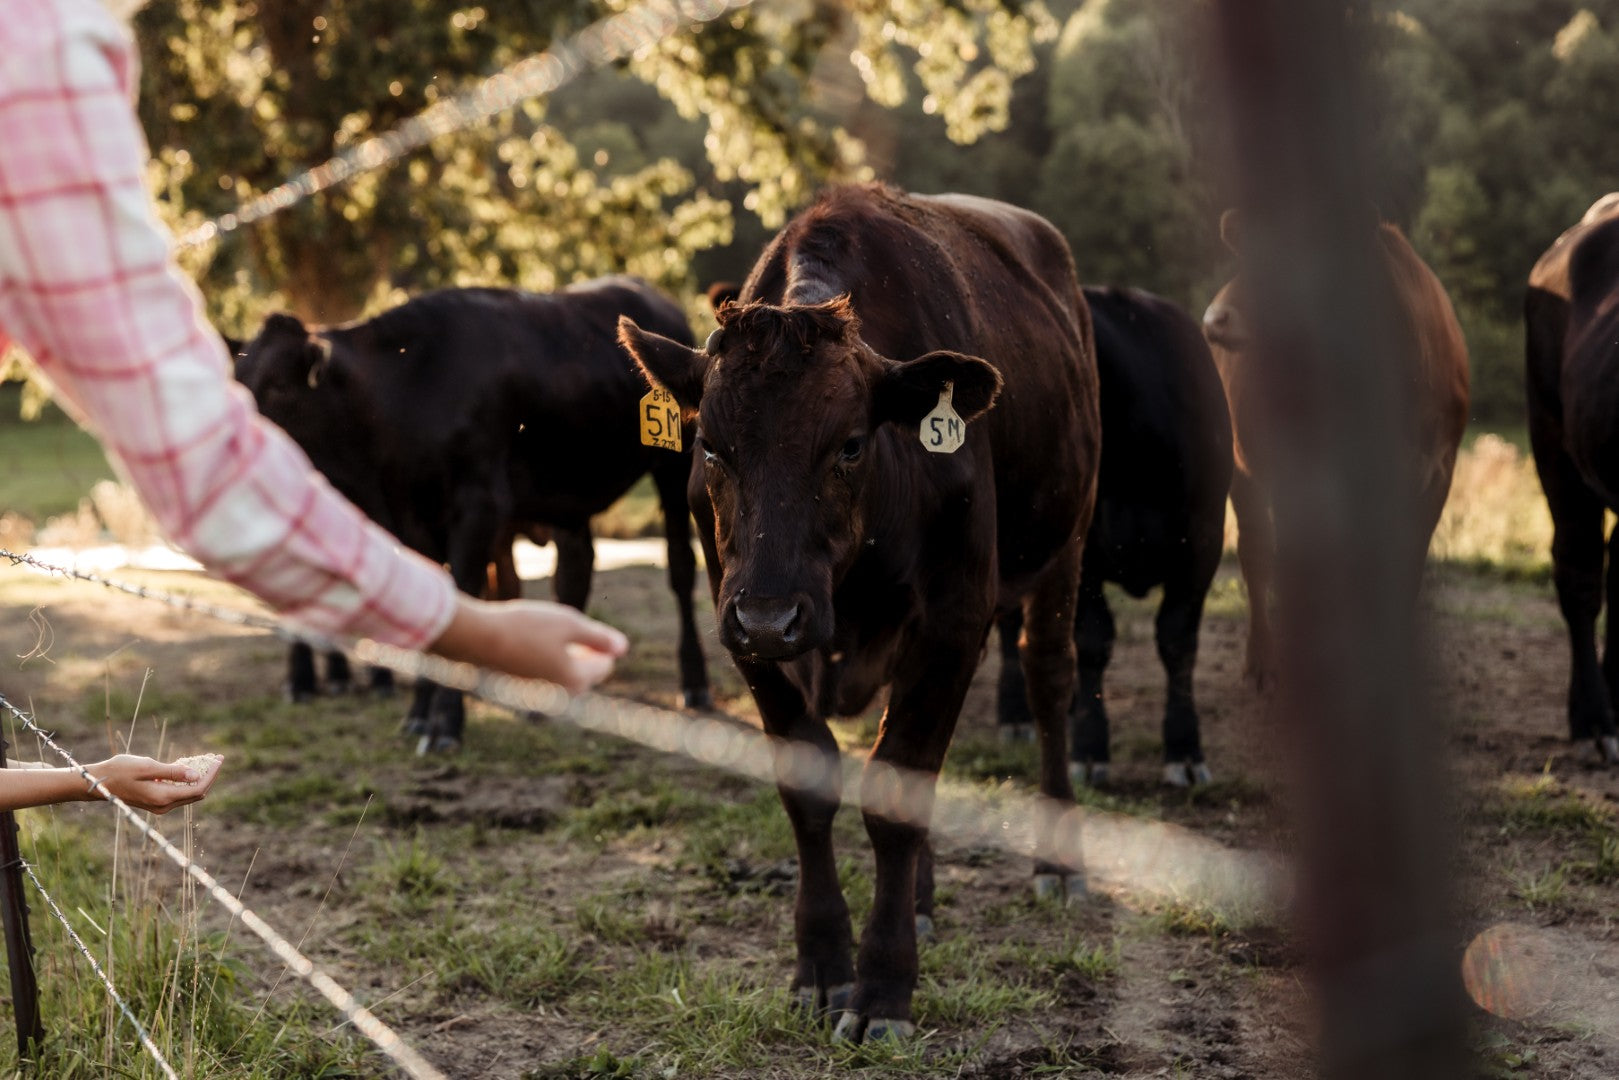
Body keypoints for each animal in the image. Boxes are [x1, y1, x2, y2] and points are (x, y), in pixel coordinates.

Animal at [232, 277, 712, 751]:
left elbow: (464, 590)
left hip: (671, 472)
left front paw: (446, 722)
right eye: (237, 376)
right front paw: (419, 714)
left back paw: (694, 684)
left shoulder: (479, 505)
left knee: (680, 570)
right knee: (573, 575)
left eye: (278, 385)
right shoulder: (411, 518)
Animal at [618, 183, 1101, 1042]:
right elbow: (815, 787)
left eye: (848, 444)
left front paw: (881, 988)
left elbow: (899, 792)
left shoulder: (953, 617)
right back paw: (921, 900)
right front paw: (821, 965)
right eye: (709, 447)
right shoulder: (739, 624)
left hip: (1065, 541)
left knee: (1049, 683)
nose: (771, 616)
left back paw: (1056, 863)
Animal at [995, 286, 1232, 787]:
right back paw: (1017, 717)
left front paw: (1185, 750)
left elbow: (1178, 643)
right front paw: (1089, 749)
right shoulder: (1082, 556)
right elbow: (1093, 642)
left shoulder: (1203, 545)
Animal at [1202, 212, 1469, 688]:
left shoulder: (1437, 470)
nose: (1216, 319)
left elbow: (1404, 563)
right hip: (1242, 463)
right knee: (1258, 549)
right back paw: (1264, 659)